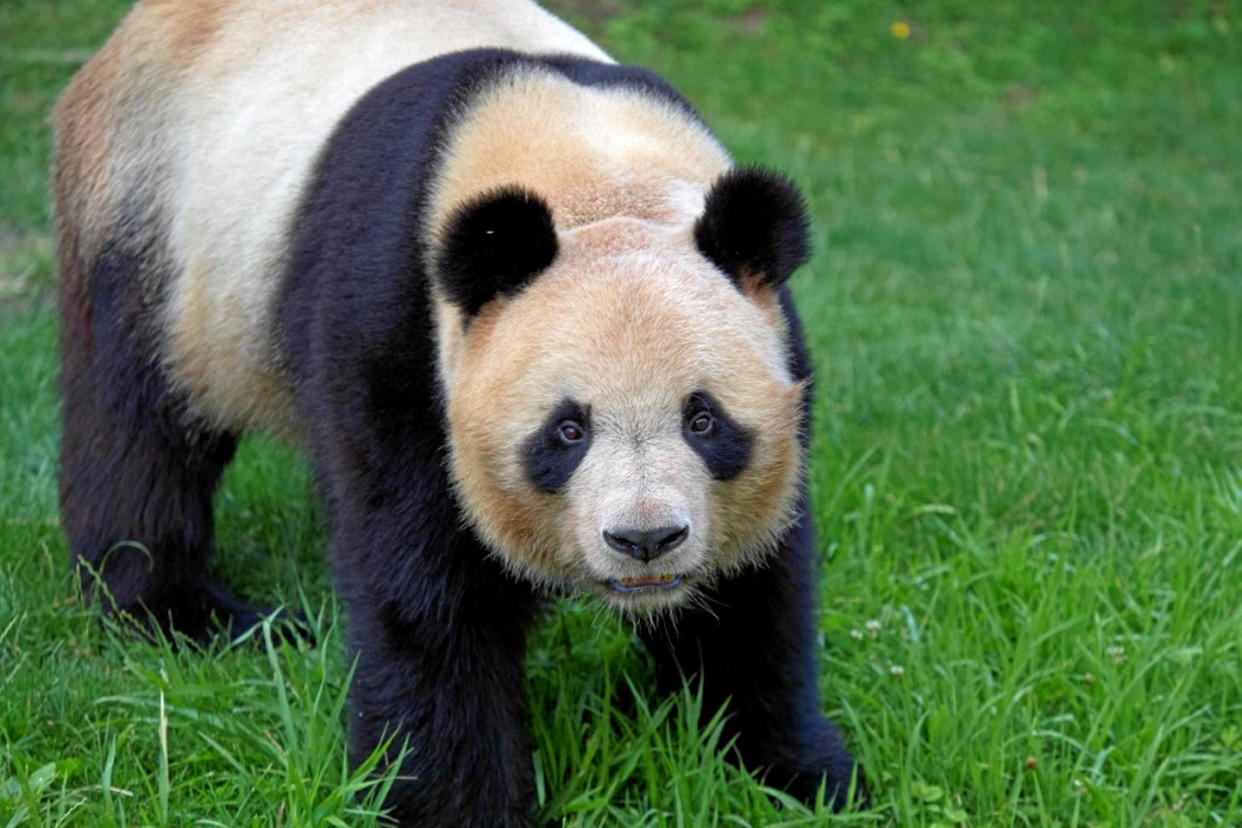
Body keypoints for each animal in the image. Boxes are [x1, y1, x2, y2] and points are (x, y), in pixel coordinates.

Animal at [55, 0, 864, 824]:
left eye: (702, 419)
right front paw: (451, 803)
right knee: (138, 424)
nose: (645, 540)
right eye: (567, 430)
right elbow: (427, 598)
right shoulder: (395, 326)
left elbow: (752, 594)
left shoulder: (778, 354)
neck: (589, 170)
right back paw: (191, 613)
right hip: (157, 221)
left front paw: (801, 777)